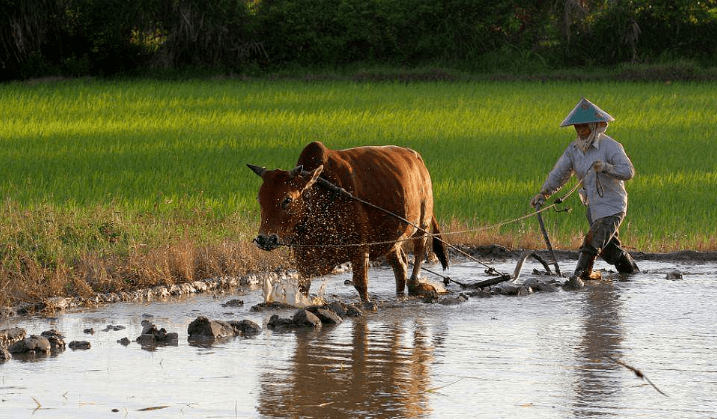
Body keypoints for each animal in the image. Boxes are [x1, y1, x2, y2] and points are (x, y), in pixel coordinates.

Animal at [248, 143, 448, 304]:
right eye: (259, 199)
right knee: (400, 266)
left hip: (422, 223)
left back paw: (415, 284)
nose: (265, 239)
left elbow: (361, 286)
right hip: (392, 238)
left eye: (287, 199)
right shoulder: (302, 258)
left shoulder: (359, 248)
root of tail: (416, 157)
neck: (321, 199)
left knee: (419, 253)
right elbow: (302, 288)